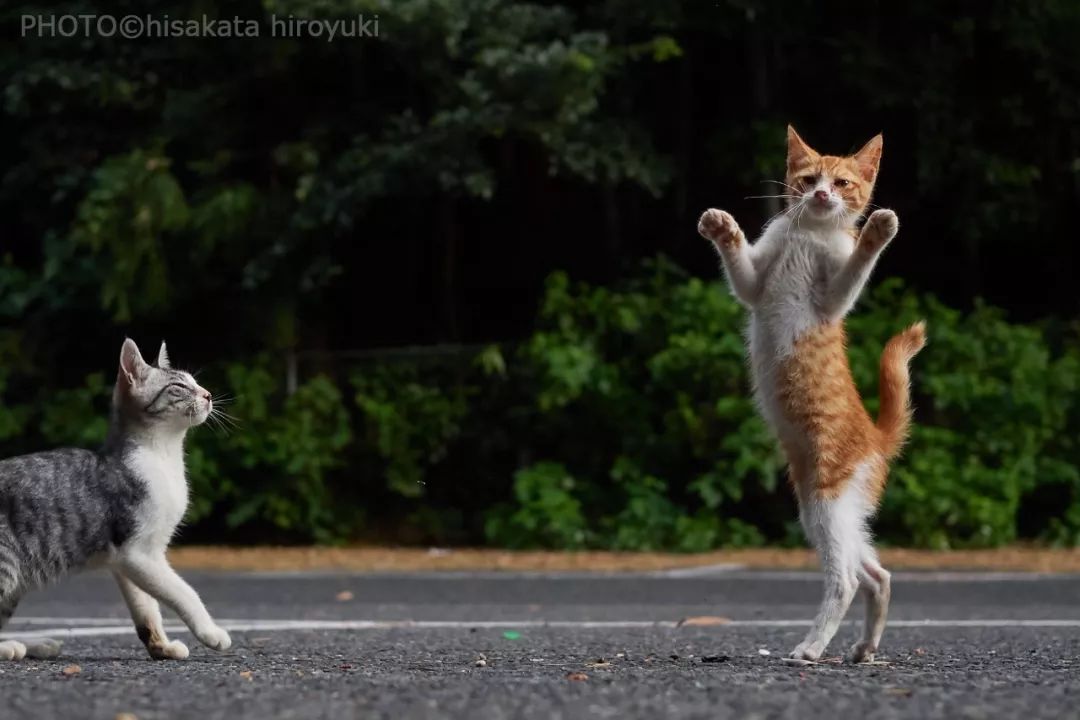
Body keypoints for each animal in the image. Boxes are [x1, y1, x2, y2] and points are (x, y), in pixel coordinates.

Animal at [0, 341, 232, 660]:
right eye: (178, 387)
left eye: (195, 382)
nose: (208, 394)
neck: (163, 457)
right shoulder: (139, 552)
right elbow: (183, 592)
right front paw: (211, 633)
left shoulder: (127, 560)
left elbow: (146, 608)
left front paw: (161, 646)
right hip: (6, 568)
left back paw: (34, 644)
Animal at [699, 125, 928, 664]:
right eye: (807, 179)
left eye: (842, 183)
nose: (822, 196)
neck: (809, 233)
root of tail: (876, 437)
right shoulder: (756, 283)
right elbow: (742, 271)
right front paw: (722, 227)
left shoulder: (832, 299)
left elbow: (854, 271)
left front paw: (877, 232)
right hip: (823, 504)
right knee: (876, 573)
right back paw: (864, 647)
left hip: (829, 496)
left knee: (845, 579)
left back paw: (811, 646)